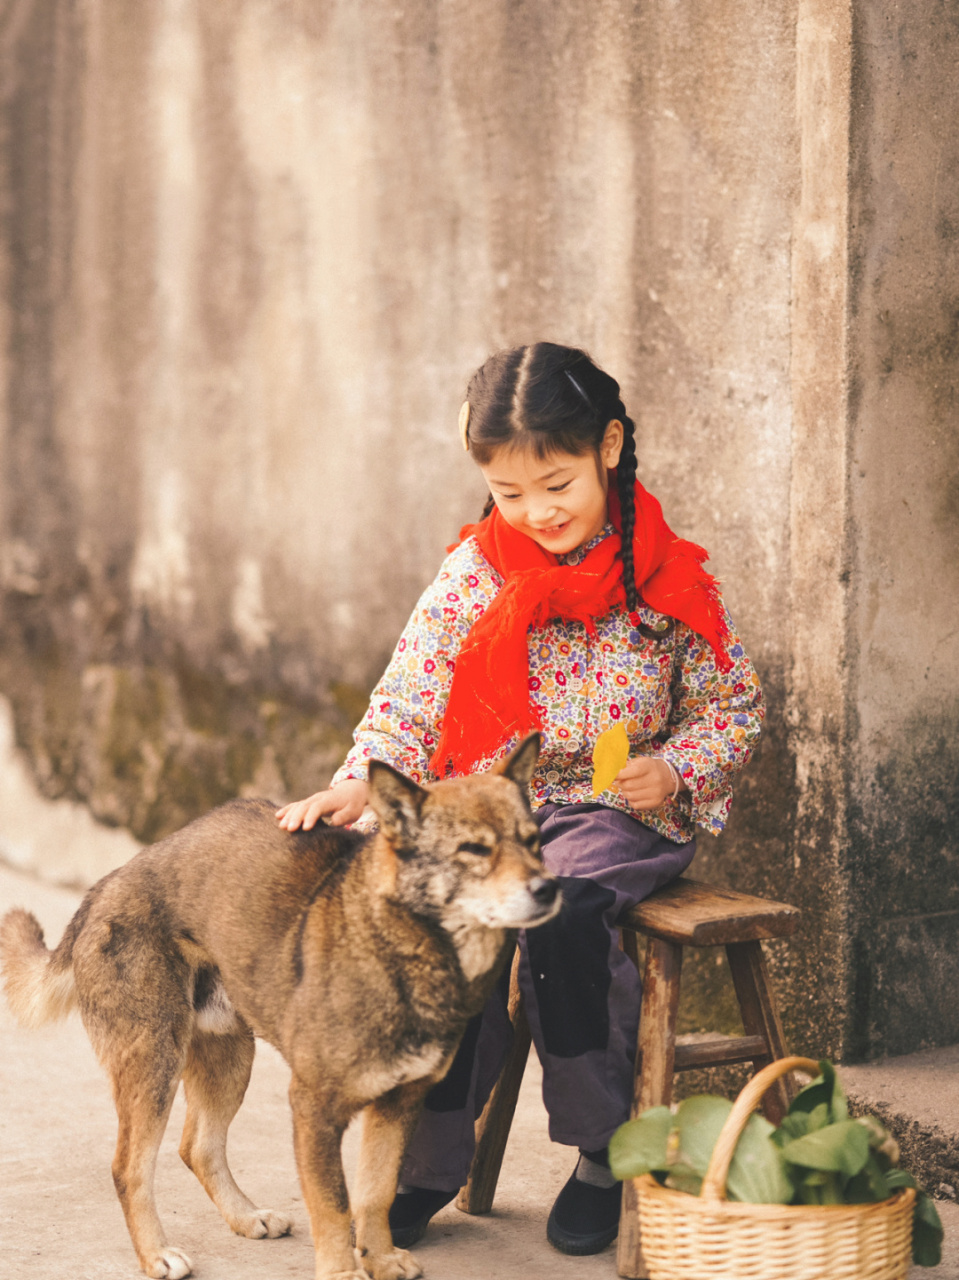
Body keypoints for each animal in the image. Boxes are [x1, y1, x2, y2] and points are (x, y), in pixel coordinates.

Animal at [0, 737, 558, 1280]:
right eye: (474, 849)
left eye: (533, 840)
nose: (549, 888)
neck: (401, 944)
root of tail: (102, 890)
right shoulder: (314, 1108)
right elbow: (334, 1205)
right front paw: (342, 1273)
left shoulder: (399, 1104)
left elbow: (375, 1194)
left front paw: (379, 1258)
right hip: (155, 1064)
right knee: (129, 1168)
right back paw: (156, 1254)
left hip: (229, 1057)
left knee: (198, 1146)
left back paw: (245, 1217)